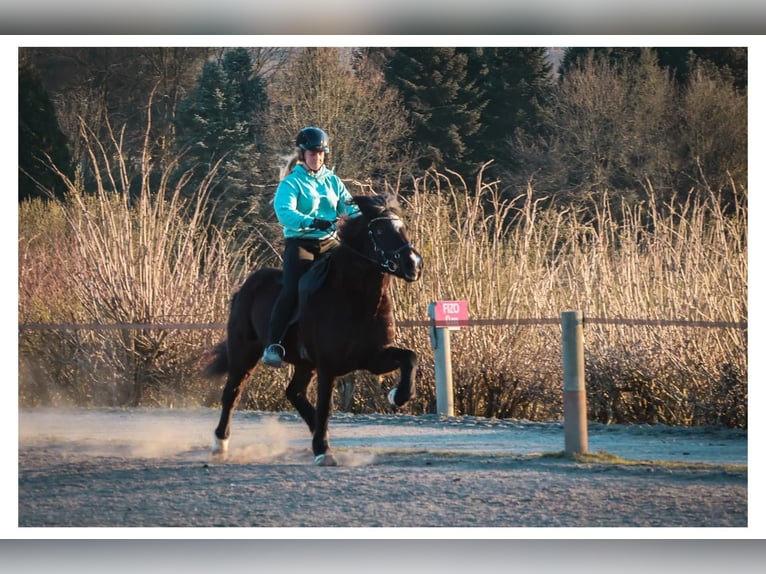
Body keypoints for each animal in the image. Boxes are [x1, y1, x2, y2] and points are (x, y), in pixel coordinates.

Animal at [203, 193, 423, 465]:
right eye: (380, 231)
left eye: (403, 228)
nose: (413, 264)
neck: (355, 298)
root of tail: (245, 286)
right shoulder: (328, 366)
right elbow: (325, 407)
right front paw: (322, 451)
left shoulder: (373, 357)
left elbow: (410, 358)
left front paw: (399, 396)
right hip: (244, 352)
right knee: (232, 393)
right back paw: (220, 445)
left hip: (304, 364)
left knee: (294, 393)